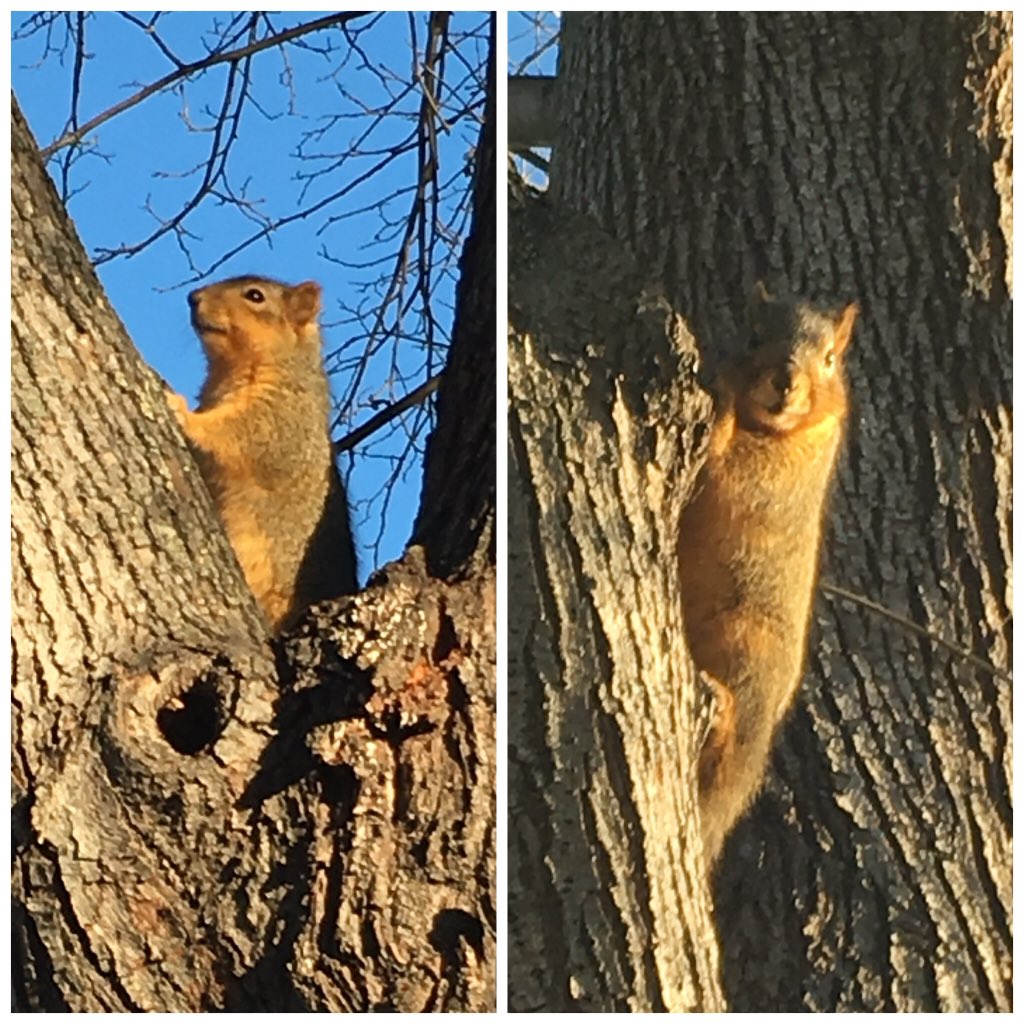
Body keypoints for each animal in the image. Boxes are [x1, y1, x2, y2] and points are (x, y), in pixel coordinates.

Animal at [678, 282, 858, 866]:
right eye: (755, 335)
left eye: (830, 359)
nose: (786, 379)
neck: (775, 428)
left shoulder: (777, 480)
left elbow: (728, 467)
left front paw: (722, 412)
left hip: (747, 644)